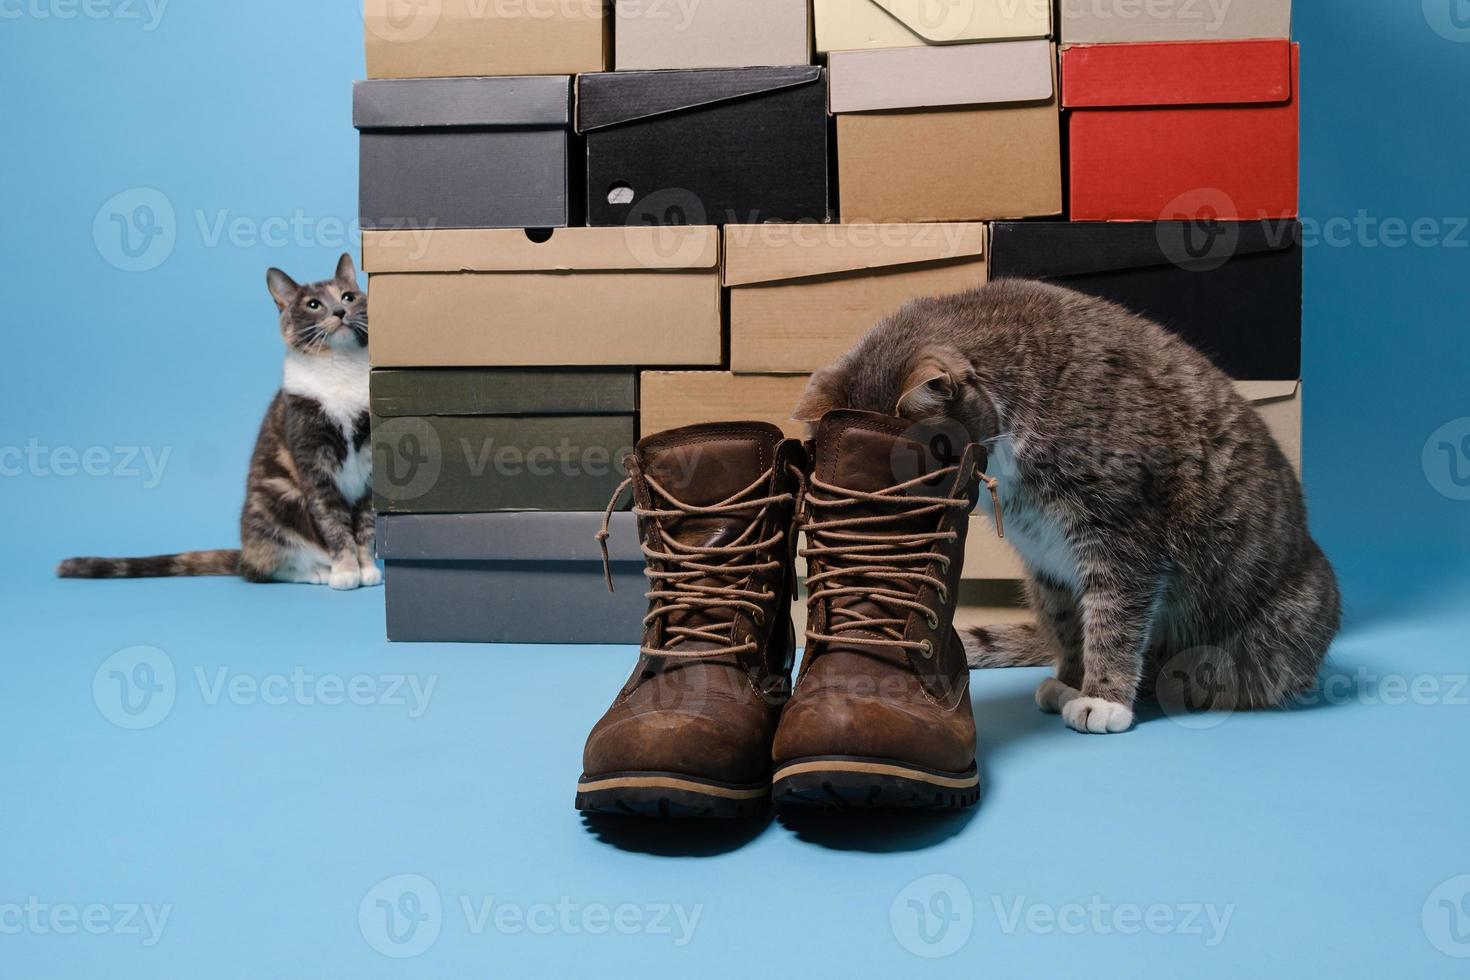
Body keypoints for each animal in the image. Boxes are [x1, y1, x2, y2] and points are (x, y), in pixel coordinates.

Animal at [57, 252, 379, 590]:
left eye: (348, 296)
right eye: (313, 304)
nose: (340, 311)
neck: (338, 370)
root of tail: (243, 552)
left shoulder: (369, 463)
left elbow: (366, 523)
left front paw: (367, 568)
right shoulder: (313, 461)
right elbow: (332, 521)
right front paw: (346, 571)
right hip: (274, 505)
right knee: (261, 568)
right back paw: (319, 571)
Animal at [799, 279, 1340, 731]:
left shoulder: (1125, 535)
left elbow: (1114, 618)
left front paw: (1103, 697)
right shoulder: (1046, 562)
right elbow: (1070, 622)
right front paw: (1073, 680)